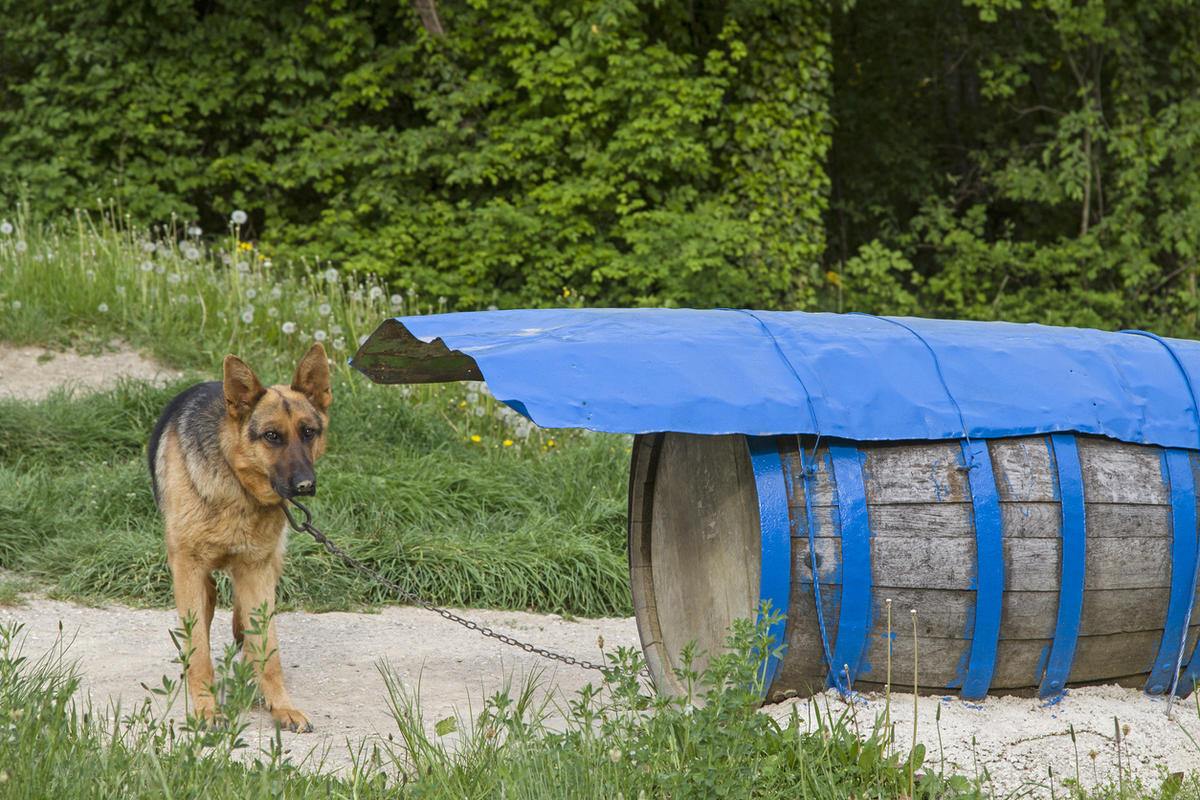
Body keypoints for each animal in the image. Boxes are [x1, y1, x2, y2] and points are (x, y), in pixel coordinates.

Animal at [148, 345, 333, 734]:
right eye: (272, 436)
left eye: (309, 432)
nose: (305, 485)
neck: (237, 483)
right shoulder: (188, 569)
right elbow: (200, 650)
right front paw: (206, 710)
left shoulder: (257, 569)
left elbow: (268, 648)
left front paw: (281, 705)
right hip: (198, 578)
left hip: (270, 563)